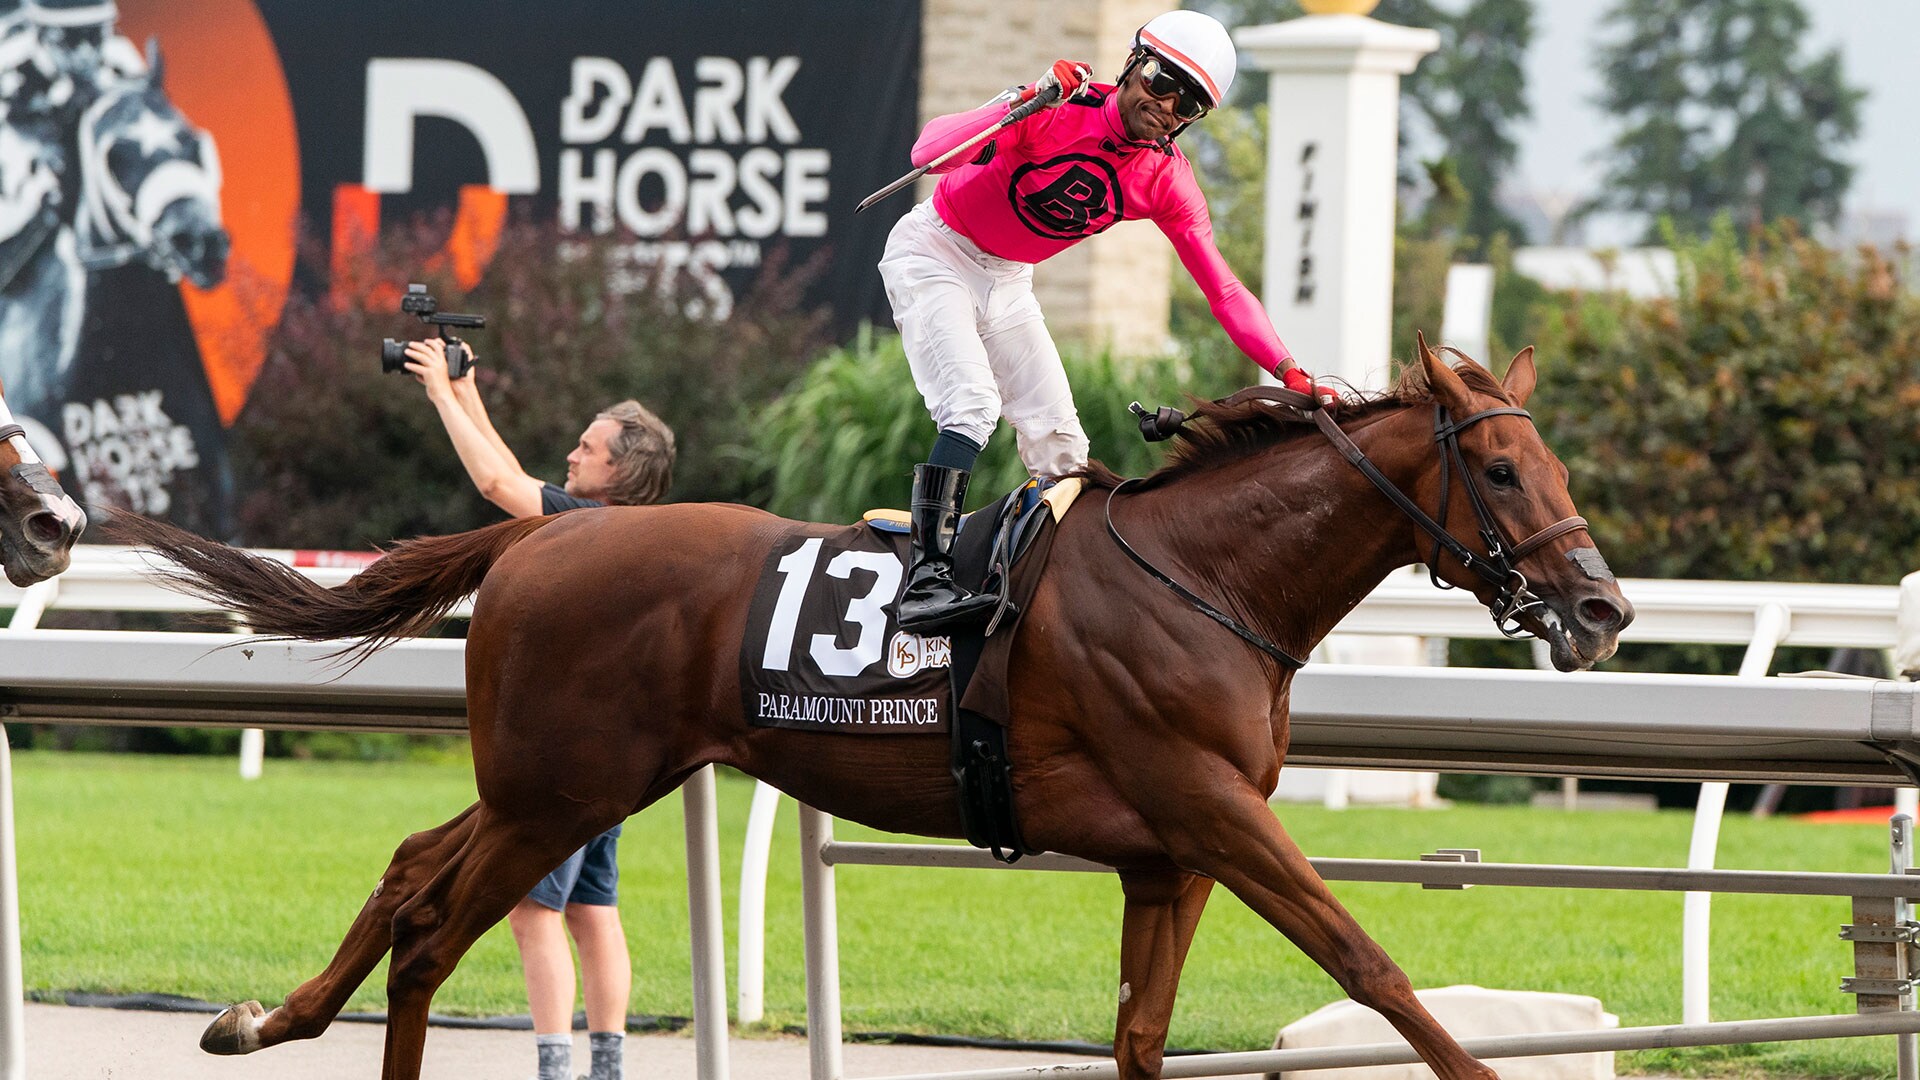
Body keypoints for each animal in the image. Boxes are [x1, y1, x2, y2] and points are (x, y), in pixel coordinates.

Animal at [116, 342, 1620, 1076]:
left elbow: (1142, 1037)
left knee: (410, 870)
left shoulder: (1173, 853)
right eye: (1499, 466)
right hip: (562, 789)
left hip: (552, 783)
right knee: (432, 929)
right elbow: (1371, 964)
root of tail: (546, 528)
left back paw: (263, 1018)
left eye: (1557, 462)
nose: (1602, 607)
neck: (1203, 577)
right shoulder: (1214, 811)